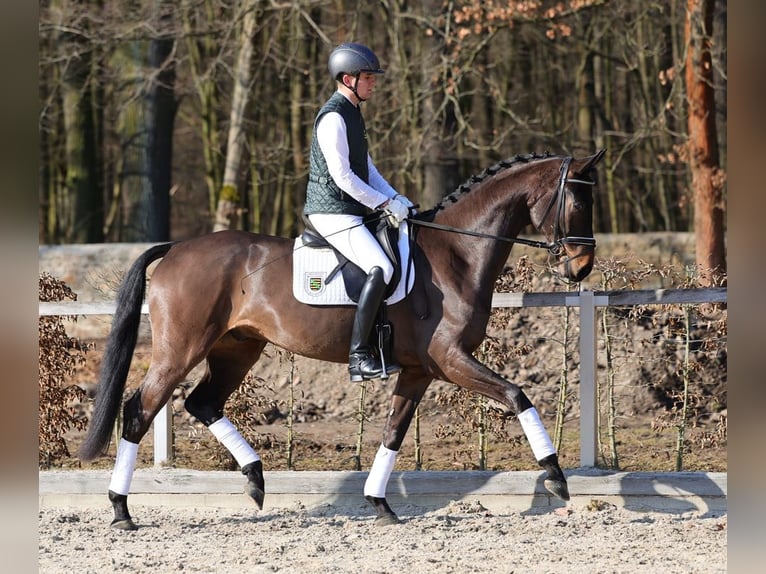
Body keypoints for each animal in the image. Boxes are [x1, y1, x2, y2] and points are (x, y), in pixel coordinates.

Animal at [78, 150, 605, 529]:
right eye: (579, 203)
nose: (581, 268)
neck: (457, 252)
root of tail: (177, 248)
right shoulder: (451, 359)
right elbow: (518, 395)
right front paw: (556, 478)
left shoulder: (419, 370)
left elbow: (393, 433)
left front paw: (379, 504)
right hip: (181, 349)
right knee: (140, 409)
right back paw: (121, 510)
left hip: (238, 347)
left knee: (202, 403)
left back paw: (255, 480)